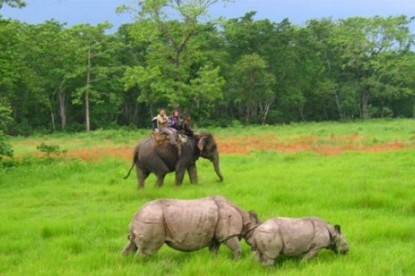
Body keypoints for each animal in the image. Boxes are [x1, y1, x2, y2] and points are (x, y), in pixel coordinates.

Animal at [120, 195, 262, 258]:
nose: (256, 246)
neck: (246, 220)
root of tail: (134, 217)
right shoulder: (228, 234)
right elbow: (236, 248)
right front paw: (237, 261)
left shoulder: (216, 236)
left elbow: (214, 250)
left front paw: (213, 261)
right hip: (152, 219)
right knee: (147, 250)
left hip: (145, 218)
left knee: (132, 243)